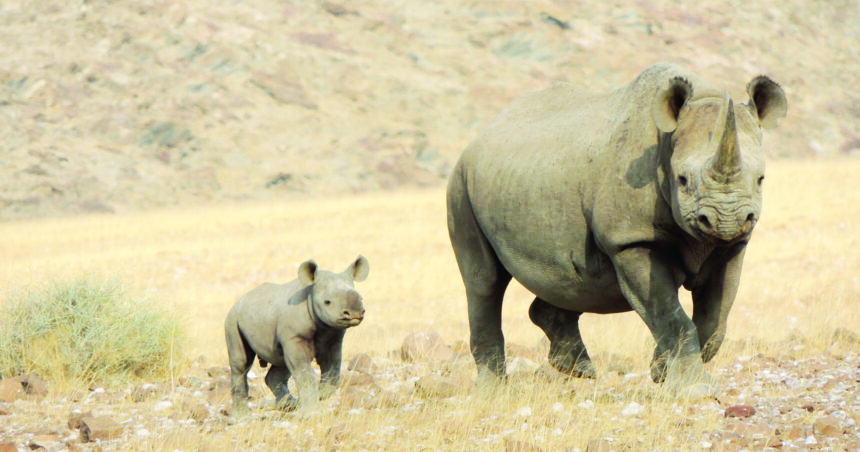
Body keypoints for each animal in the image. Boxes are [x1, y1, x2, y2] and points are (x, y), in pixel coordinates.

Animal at [224, 255, 369, 418]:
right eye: (327, 302)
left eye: (362, 298)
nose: (355, 313)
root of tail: (239, 300)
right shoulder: (295, 336)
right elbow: (304, 372)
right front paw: (311, 414)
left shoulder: (333, 336)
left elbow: (332, 366)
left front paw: (323, 393)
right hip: (232, 320)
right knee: (241, 364)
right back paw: (241, 419)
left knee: (280, 361)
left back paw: (289, 405)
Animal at [447, 63, 786, 397]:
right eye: (683, 180)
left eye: (761, 179)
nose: (725, 220)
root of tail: (480, 135)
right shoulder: (631, 240)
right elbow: (670, 315)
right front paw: (694, 389)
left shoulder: (732, 245)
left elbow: (715, 318)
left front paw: (661, 371)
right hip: (460, 183)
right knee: (484, 281)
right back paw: (492, 394)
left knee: (567, 278)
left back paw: (578, 369)